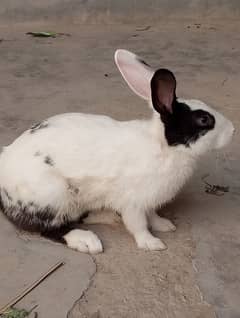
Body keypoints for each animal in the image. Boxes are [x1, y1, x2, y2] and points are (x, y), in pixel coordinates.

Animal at [0, 49, 233, 253]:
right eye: (204, 119)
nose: (232, 130)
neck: (162, 145)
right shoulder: (133, 201)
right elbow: (138, 224)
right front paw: (152, 243)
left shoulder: (148, 200)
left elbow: (152, 215)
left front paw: (164, 225)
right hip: (53, 195)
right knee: (49, 228)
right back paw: (87, 241)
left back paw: (108, 217)